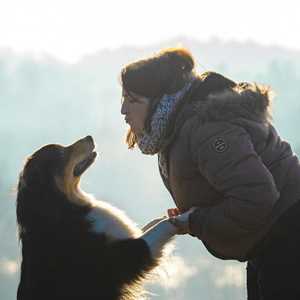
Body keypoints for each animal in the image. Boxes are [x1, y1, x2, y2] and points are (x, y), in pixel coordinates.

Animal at [16, 137, 176, 300]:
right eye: (60, 152)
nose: (89, 137)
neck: (64, 209)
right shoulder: (124, 257)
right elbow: (162, 226)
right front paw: (181, 217)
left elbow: (152, 225)